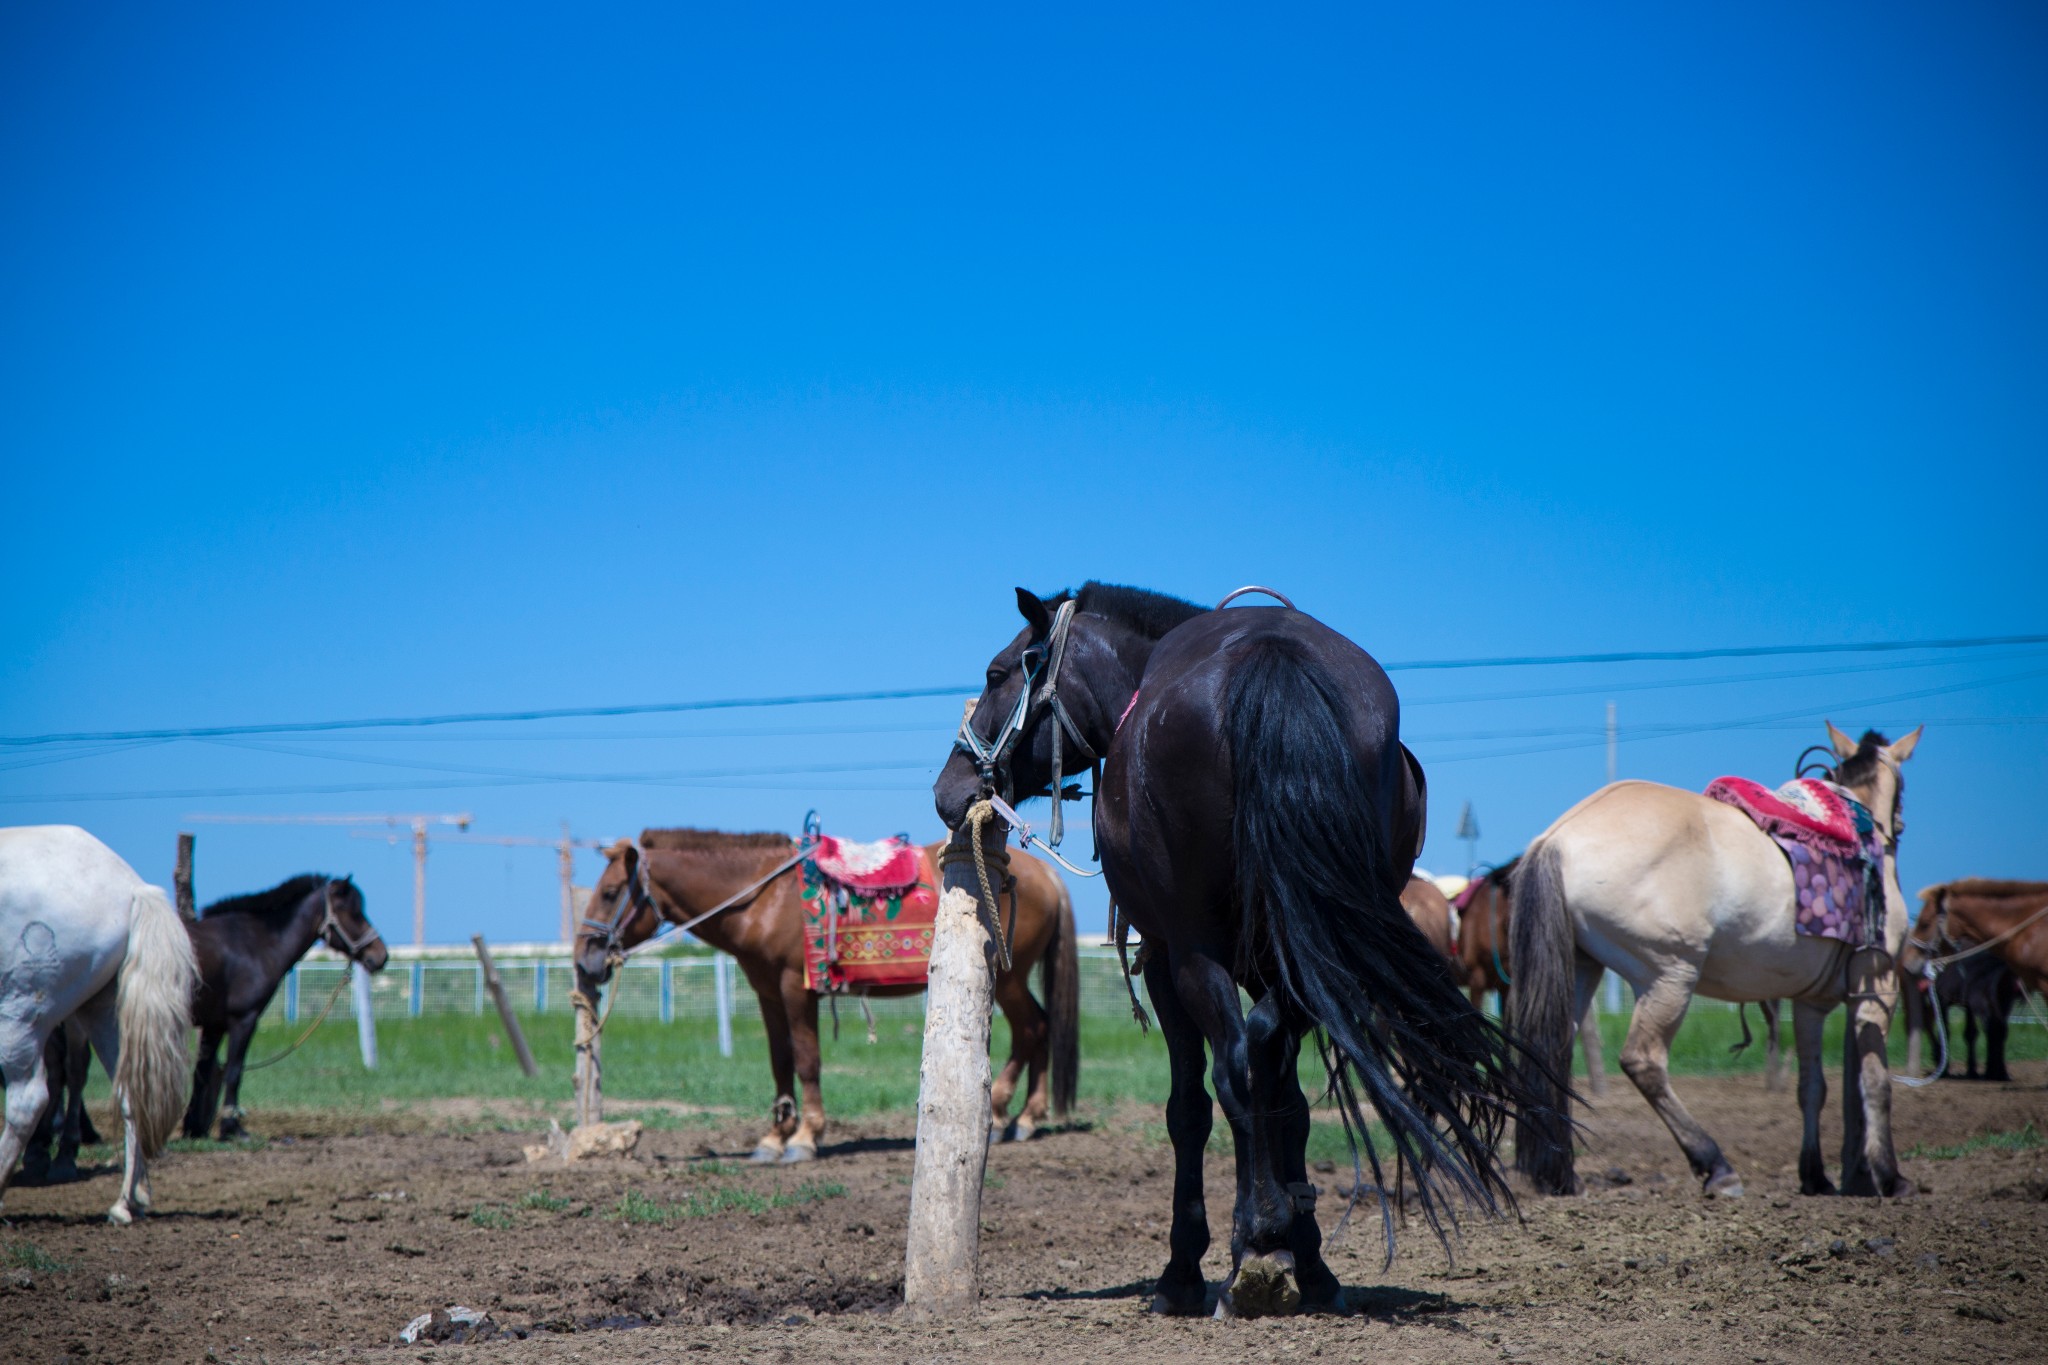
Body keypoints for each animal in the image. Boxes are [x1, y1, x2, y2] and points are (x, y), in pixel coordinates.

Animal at [2, 826, 197, 1219]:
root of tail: (132, 887)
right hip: (102, 1012)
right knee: (129, 1092)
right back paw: (125, 1202)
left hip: (20, 1014)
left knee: (27, 1100)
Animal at [184, 875, 387, 1146]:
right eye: (354, 913)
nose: (381, 955)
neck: (252, 943)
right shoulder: (243, 1020)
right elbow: (234, 1072)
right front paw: (233, 1128)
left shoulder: (213, 1025)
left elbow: (203, 1072)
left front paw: (194, 1129)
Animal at [569, 834, 1081, 1162]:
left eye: (610, 892)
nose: (584, 959)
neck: (765, 896)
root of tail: (1045, 874)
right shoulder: (767, 992)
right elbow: (780, 1060)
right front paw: (775, 1136)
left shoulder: (796, 989)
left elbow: (806, 1058)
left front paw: (805, 1136)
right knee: (1040, 1027)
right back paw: (1026, 1116)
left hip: (1008, 979)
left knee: (1032, 1029)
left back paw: (1007, 1112)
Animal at [1507, 720, 1916, 1203]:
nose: (1898, 826)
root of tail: (1557, 839)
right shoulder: (1878, 986)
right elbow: (1875, 1083)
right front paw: (1887, 1175)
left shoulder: (1810, 1003)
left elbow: (1816, 1087)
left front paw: (1825, 1176)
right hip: (1670, 977)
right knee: (1644, 1062)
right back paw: (1716, 1165)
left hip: (1581, 970)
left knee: (1551, 1054)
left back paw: (1561, 1177)